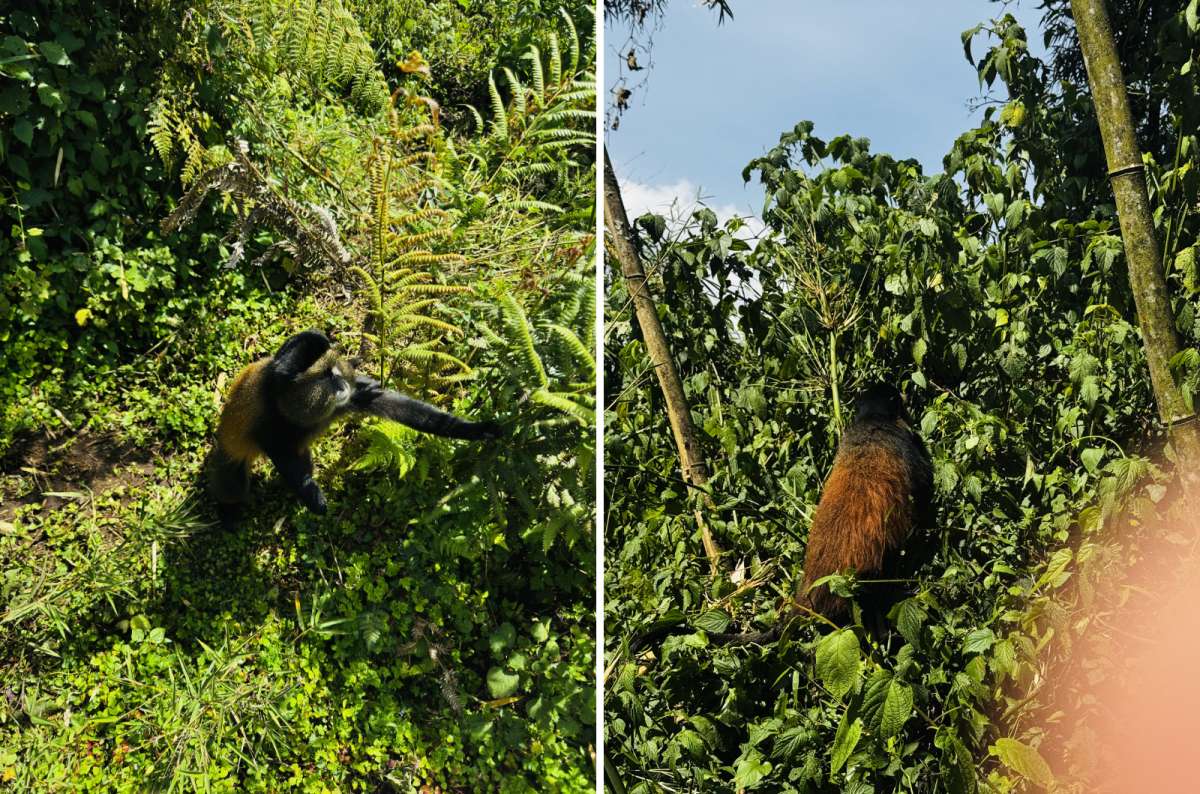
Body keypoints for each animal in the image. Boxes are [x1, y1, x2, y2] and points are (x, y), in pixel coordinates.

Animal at [207, 329, 502, 523]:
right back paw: (229, 510)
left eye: (335, 374)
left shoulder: (348, 399)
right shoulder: (271, 412)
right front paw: (312, 496)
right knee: (232, 483)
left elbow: (399, 407)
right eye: (325, 377)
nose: (342, 384)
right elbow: (281, 371)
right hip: (229, 455)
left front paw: (473, 429)